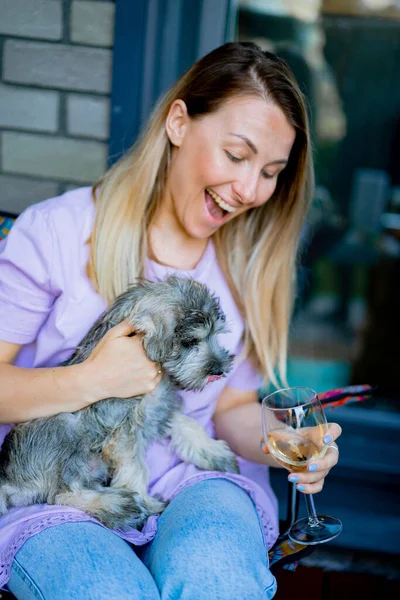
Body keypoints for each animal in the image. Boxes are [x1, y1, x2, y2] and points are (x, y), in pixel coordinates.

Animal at [0, 276, 238, 528]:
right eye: (191, 341)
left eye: (216, 334)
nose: (219, 370)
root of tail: (7, 479)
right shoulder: (124, 432)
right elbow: (135, 468)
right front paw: (145, 499)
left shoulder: (160, 408)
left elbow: (189, 425)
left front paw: (215, 454)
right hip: (64, 427)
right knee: (62, 493)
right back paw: (122, 506)